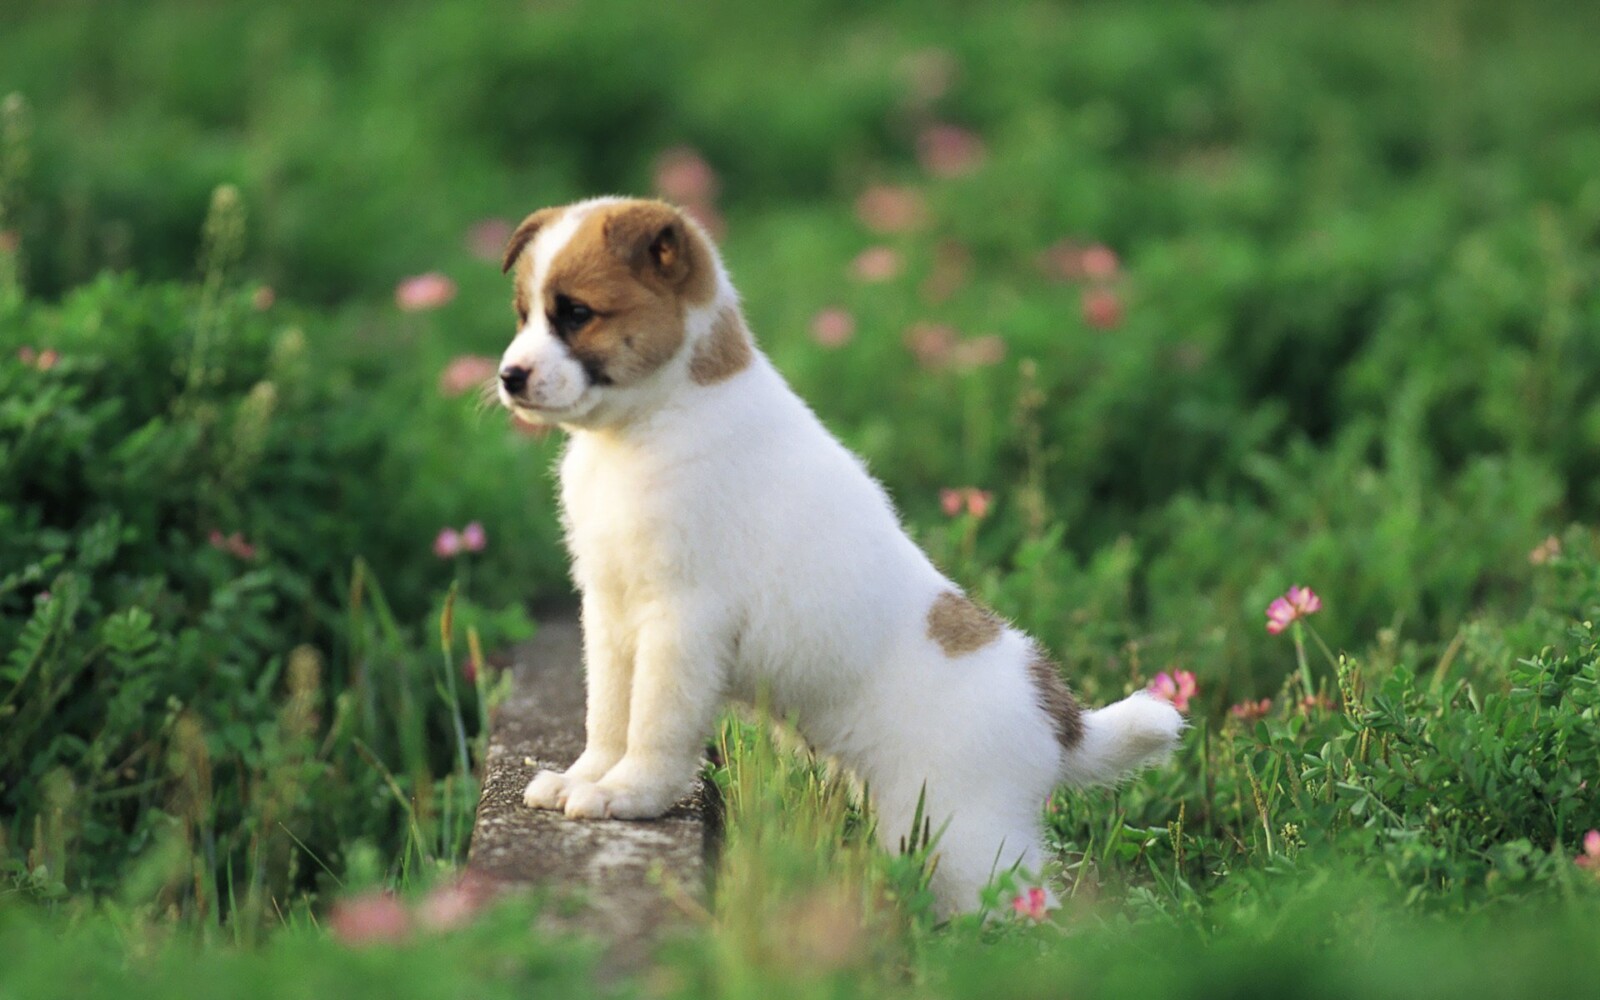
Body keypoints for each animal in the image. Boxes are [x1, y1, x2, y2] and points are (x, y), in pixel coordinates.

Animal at [492, 195, 1184, 915]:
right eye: (524, 313)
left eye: (577, 313)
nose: (508, 377)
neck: (656, 418)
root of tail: (1058, 719)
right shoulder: (610, 612)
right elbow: (608, 713)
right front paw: (586, 778)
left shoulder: (682, 625)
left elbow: (654, 725)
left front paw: (628, 795)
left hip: (966, 838)